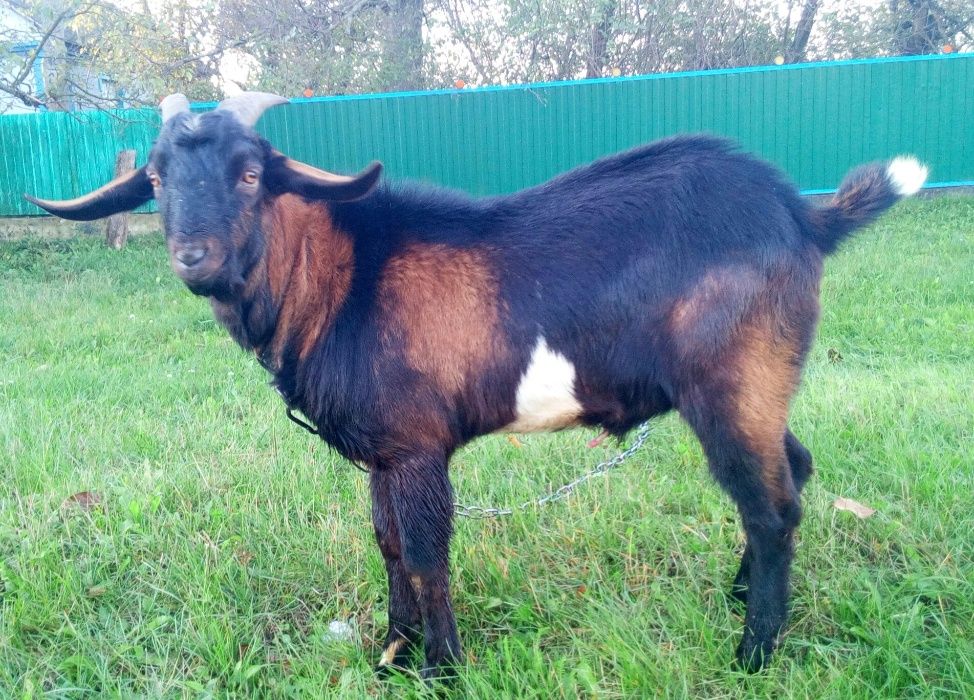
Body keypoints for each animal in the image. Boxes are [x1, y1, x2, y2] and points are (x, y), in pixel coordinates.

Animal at [26, 93, 932, 680]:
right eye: (154, 178)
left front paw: (442, 668)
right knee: (794, 468)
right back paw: (740, 599)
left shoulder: (419, 445)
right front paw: (391, 655)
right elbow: (389, 545)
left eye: (251, 175)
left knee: (770, 504)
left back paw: (753, 653)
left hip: (732, 378)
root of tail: (804, 216)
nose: (195, 258)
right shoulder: (382, 452)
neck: (342, 278)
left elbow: (429, 552)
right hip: (758, 382)